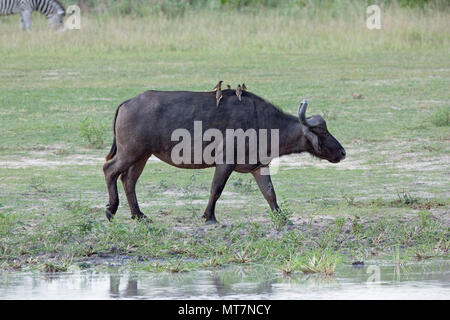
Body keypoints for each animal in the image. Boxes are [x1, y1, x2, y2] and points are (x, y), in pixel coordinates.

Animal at [104, 88, 344, 222]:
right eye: (323, 131)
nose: (342, 152)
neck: (264, 123)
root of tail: (127, 103)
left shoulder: (259, 166)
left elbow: (270, 193)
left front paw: (282, 217)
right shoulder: (225, 162)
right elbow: (216, 189)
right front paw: (209, 216)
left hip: (142, 155)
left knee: (128, 180)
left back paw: (139, 215)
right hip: (130, 152)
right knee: (109, 170)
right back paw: (111, 210)